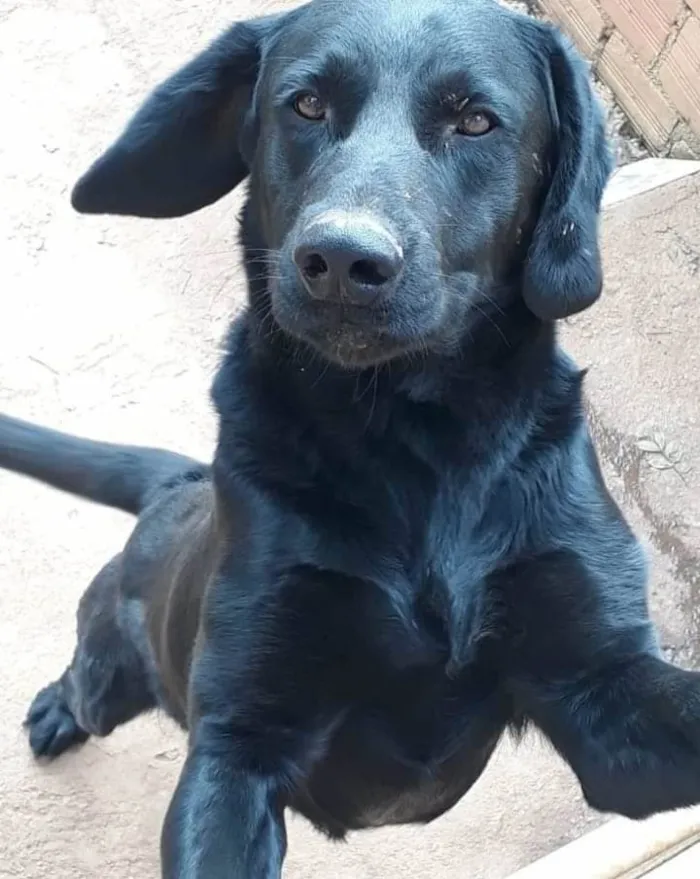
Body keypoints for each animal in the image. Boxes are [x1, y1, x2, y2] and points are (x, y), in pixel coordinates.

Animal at [2, 0, 696, 876]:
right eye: (306, 105)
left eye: (476, 120)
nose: (340, 258)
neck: (412, 438)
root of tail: (179, 489)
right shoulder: (237, 744)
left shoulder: (605, 690)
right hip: (116, 665)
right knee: (85, 680)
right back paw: (57, 710)